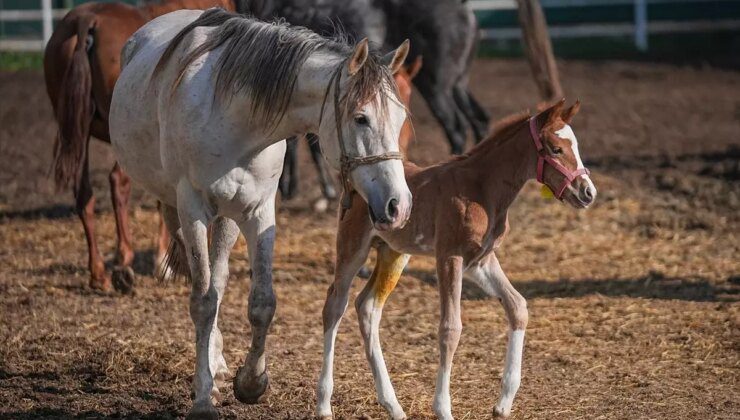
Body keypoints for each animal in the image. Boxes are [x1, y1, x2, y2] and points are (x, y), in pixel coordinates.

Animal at [42, 0, 243, 292]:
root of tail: (87, 21)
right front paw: (167, 265)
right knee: (118, 181)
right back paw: (123, 262)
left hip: (78, 134)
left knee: (84, 194)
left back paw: (99, 273)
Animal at [110, 8, 414, 418]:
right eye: (361, 118)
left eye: (400, 119)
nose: (399, 205)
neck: (239, 121)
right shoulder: (192, 208)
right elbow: (202, 301)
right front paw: (203, 398)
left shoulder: (259, 211)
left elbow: (262, 303)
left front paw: (251, 382)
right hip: (177, 208)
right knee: (204, 286)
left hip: (227, 217)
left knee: (219, 280)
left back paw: (217, 362)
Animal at [318, 100, 596, 418]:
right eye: (556, 149)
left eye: (575, 146)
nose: (588, 192)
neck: (481, 188)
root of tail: (354, 178)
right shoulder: (450, 255)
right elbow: (450, 328)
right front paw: (443, 408)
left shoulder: (480, 261)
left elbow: (518, 307)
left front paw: (504, 402)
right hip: (353, 246)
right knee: (335, 305)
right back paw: (324, 404)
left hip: (394, 252)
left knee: (368, 306)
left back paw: (393, 406)